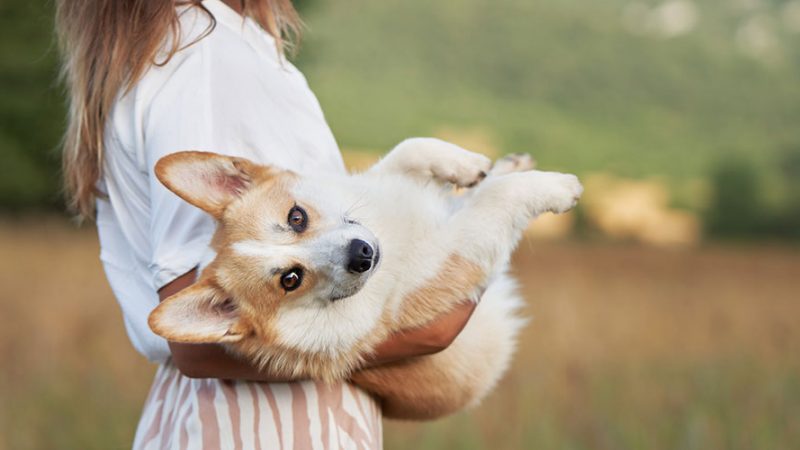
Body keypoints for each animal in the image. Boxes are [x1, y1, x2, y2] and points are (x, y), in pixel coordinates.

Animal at [148, 139, 580, 420]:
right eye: (291, 279)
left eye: (296, 217)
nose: (363, 253)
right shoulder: (453, 256)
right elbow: (495, 201)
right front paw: (557, 187)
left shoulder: (382, 183)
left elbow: (411, 149)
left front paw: (471, 164)